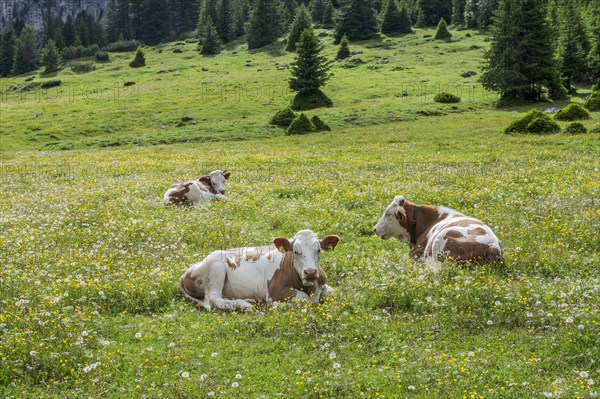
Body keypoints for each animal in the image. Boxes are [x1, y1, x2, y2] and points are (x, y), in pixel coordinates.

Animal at [178, 231, 340, 312]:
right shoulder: (275, 292)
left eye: (318, 250)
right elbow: (304, 299)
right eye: (295, 251)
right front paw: (274, 306)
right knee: (213, 299)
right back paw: (245, 305)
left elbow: (331, 293)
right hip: (216, 266)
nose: (310, 272)